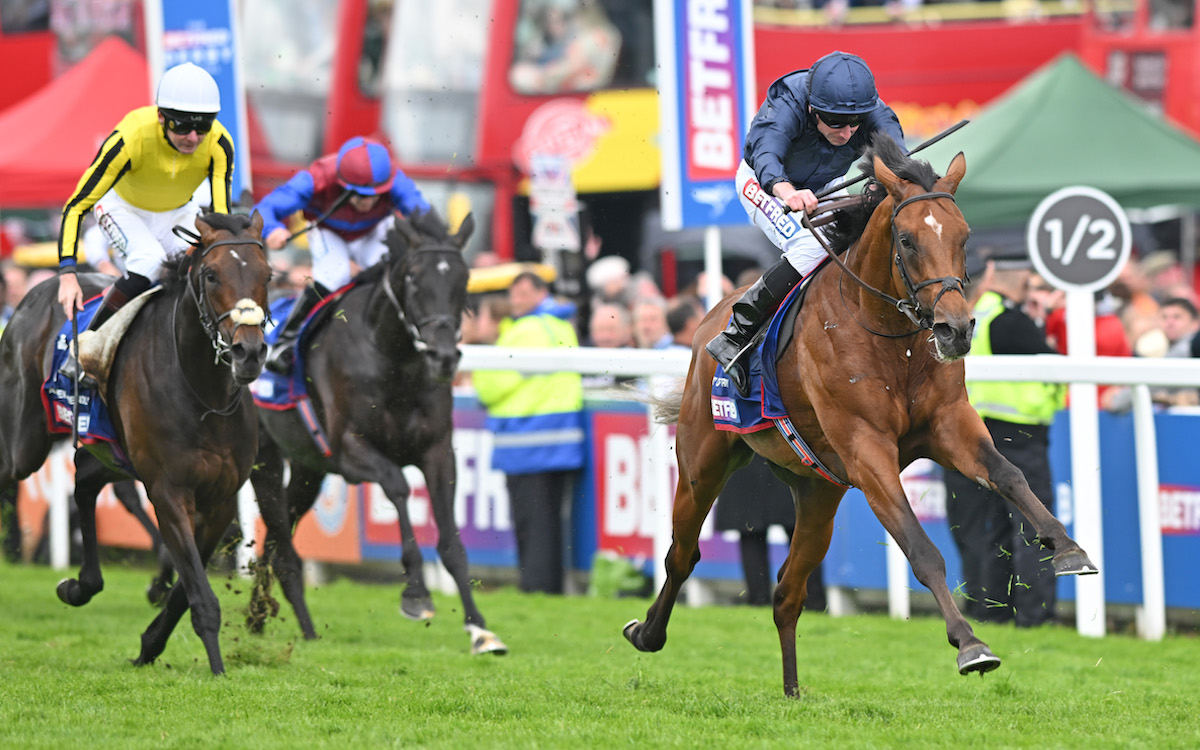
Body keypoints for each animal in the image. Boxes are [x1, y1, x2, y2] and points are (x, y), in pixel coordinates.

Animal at [0, 208, 272, 672]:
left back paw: (81, 585)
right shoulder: (168, 490)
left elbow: (186, 589)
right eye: (212, 275)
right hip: (25, 443)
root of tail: (38, 288)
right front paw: (217, 668)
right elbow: (200, 593)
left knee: (85, 482)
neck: (205, 395)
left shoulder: (219, 500)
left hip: (110, 448)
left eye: (267, 273)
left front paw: (149, 643)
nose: (248, 352)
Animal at [248, 207, 506, 652]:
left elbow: (451, 541)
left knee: (277, 536)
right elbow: (399, 488)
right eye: (414, 277)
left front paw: (479, 628)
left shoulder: (438, 451)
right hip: (263, 457)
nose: (443, 357)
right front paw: (416, 594)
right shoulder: (352, 451)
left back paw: (259, 616)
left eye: (464, 279)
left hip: (308, 467)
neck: (393, 358)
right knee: (277, 535)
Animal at [624, 134, 1099, 696]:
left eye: (964, 236)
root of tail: (708, 323)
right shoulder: (867, 447)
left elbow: (1009, 474)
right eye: (908, 241)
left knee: (787, 592)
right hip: (703, 460)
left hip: (817, 492)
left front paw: (1067, 547)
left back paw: (792, 692)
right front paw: (970, 645)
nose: (957, 329)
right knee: (682, 553)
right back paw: (646, 632)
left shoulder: (948, 422)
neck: (892, 337)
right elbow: (921, 548)